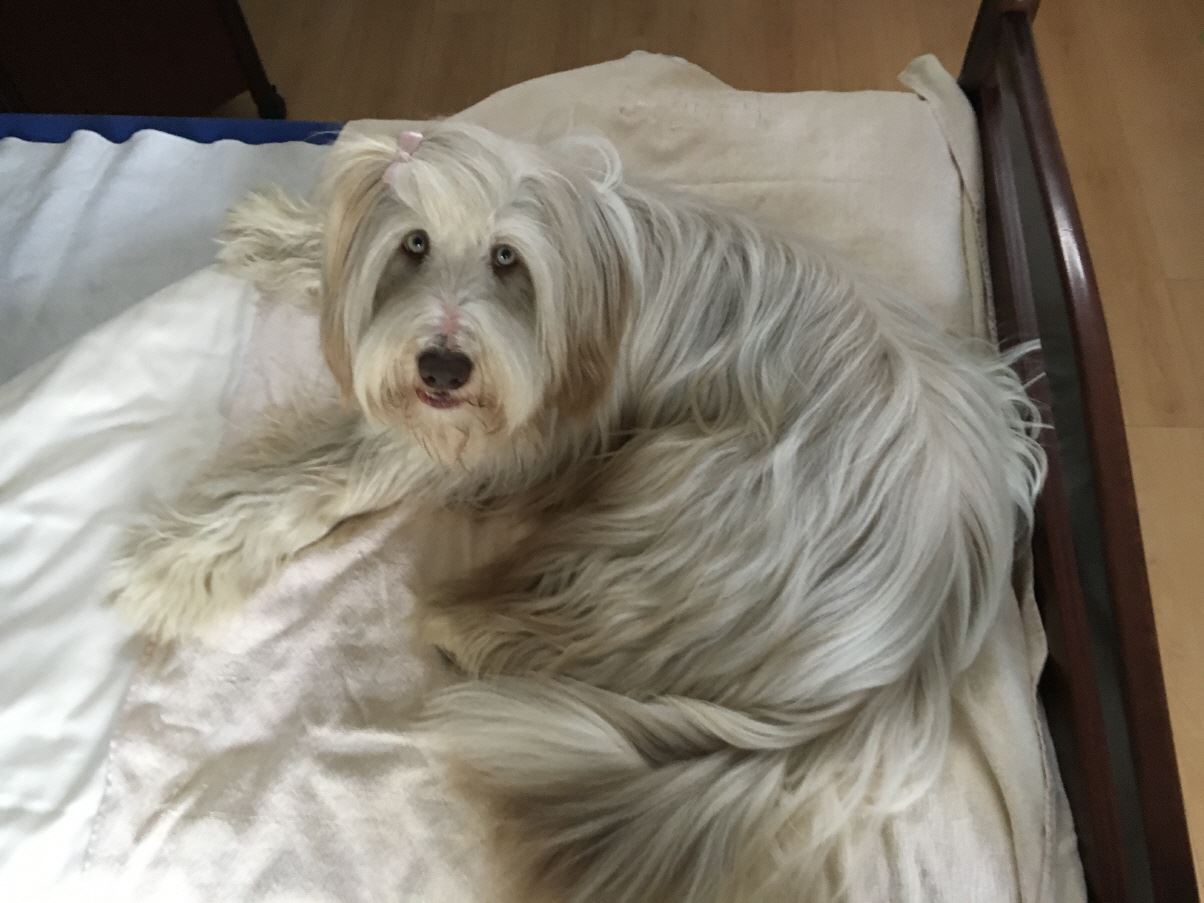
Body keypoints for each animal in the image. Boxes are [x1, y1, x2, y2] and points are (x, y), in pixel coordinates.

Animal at [108, 123, 1044, 902]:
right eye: (414, 244)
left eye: (506, 259)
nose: (442, 365)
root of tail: (916, 638)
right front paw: (279, 233)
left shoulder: (484, 432)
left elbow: (310, 479)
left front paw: (176, 561)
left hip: (685, 494)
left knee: (565, 618)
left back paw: (463, 629)